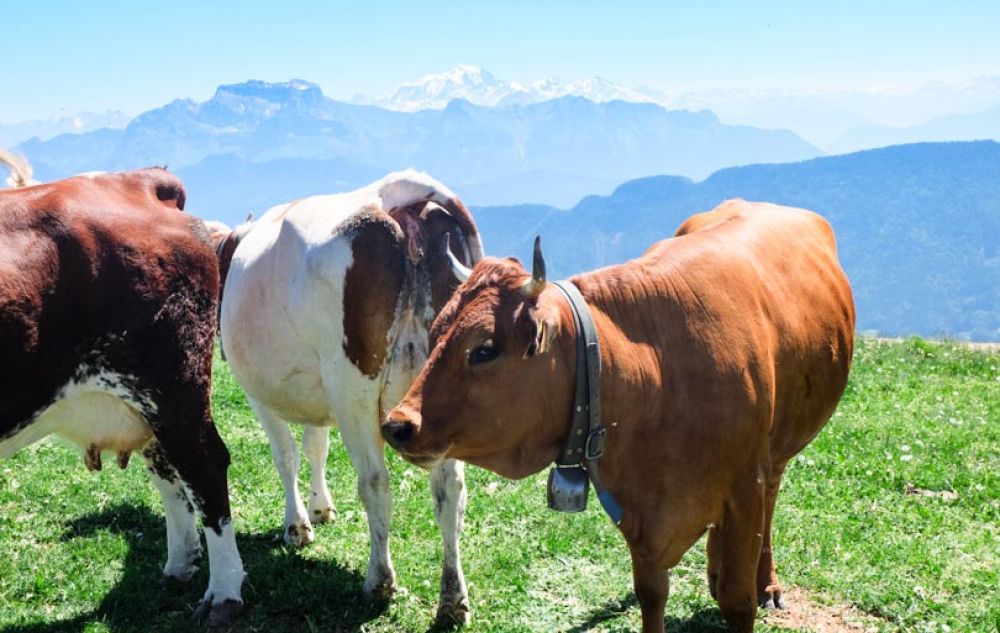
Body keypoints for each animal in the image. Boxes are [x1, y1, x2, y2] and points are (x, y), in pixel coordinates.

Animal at [1, 156, 246, 624]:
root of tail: (138, 178)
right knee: (168, 468)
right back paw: (179, 565)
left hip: (172, 385)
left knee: (204, 466)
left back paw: (224, 595)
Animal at [218, 169, 484, 624]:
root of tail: (397, 194)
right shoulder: (316, 396)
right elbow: (315, 446)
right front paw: (321, 508)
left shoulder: (259, 395)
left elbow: (286, 456)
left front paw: (297, 525)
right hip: (443, 389)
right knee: (450, 490)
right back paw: (452, 598)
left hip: (354, 389)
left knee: (375, 482)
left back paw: (379, 582)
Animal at [380, 199, 852, 632]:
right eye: (437, 332)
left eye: (484, 349)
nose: (398, 424)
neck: (658, 371)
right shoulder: (638, 510)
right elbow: (651, 594)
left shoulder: (743, 488)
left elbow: (738, 601)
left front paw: (744, 589)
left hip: (776, 452)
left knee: (771, 495)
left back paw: (766, 583)